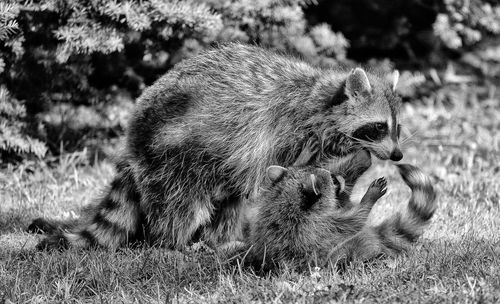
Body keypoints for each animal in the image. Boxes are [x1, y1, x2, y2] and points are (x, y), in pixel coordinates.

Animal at [29, 43, 402, 252]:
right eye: (378, 127)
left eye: (397, 128)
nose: (397, 154)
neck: (320, 100)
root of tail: (133, 138)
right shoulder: (285, 131)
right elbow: (296, 175)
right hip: (174, 148)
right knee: (180, 201)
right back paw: (172, 243)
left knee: (231, 198)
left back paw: (218, 239)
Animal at [244, 163, 436, 270]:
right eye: (333, 180)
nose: (341, 177)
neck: (283, 197)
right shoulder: (318, 224)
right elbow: (355, 221)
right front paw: (368, 199)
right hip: (343, 251)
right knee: (350, 250)